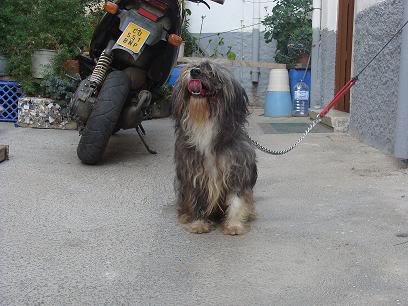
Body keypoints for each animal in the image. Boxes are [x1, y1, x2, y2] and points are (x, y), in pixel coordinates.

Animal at [171, 61, 256, 235]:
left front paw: (234, 225)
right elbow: (197, 201)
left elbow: (236, 200)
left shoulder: (237, 170)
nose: (194, 72)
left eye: (212, 72)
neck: (205, 122)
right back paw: (185, 215)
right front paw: (199, 223)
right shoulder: (195, 173)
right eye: (193, 66)